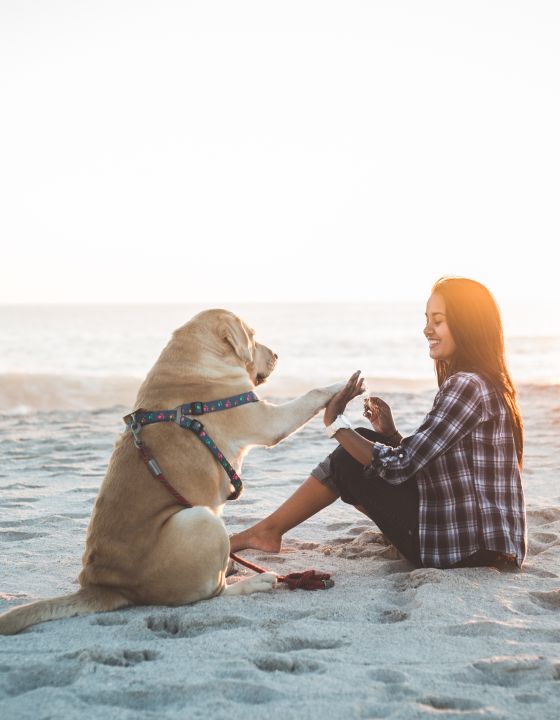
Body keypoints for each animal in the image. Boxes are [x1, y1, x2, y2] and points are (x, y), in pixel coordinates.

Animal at [0, 306, 344, 632]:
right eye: (253, 336)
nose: (276, 354)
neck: (194, 358)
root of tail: (106, 586)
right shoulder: (269, 420)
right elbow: (313, 393)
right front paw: (342, 383)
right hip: (203, 520)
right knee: (214, 592)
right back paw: (255, 580)